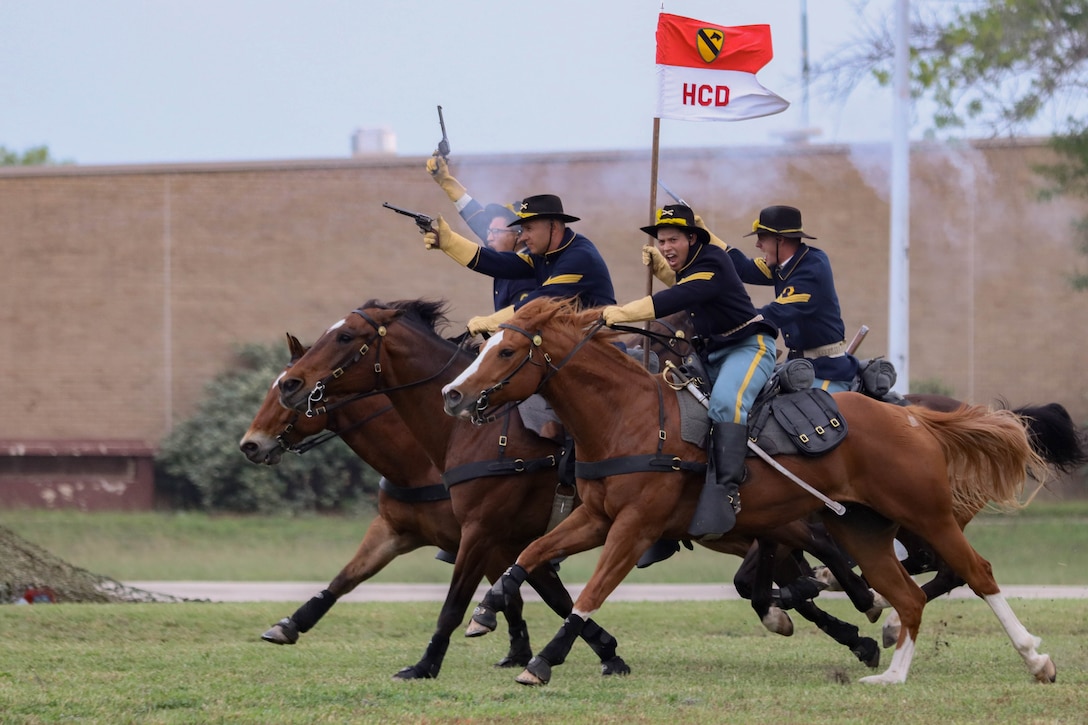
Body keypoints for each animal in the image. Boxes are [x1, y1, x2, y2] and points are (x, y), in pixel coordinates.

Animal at [243, 330, 539, 670]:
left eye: (287, 390)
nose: (249, 444)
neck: (423, 461)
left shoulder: (485, 540)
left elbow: (513, 593)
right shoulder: (395, 531)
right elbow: (347, 577)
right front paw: (291, 623)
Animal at [439, 296, 1053, 687]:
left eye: (505, 352)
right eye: (486, 346)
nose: (452, 396)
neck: (627, 417)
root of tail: (914, 418)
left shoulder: (634, 528)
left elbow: (590, 594)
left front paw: (543, 660)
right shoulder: (594, 518)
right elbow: (530, 554)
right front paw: (489, 606)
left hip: (927, 516)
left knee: (975, 573)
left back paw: (1034, 659)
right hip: (864, 529)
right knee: (907, 597)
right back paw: (891, 676)